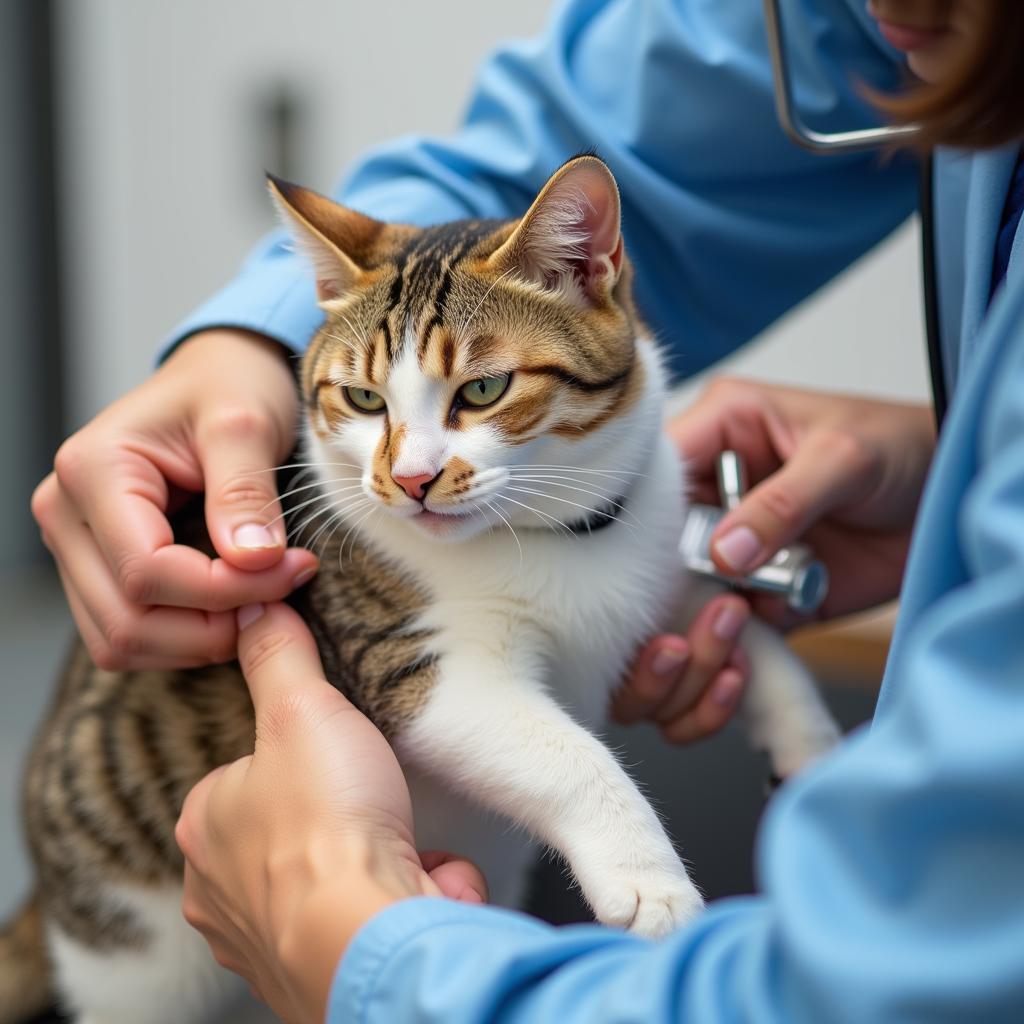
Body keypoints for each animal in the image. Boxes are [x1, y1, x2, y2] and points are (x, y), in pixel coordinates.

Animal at [0, 153, 839, 1024]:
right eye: (364, 399)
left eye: (484, 391)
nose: (410, 480)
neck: (551, 533)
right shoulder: (418, 666)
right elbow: (568, 754)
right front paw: (650, 882)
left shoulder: (652, 551)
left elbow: (744, 630)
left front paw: (810, 743)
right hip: (137, 951)